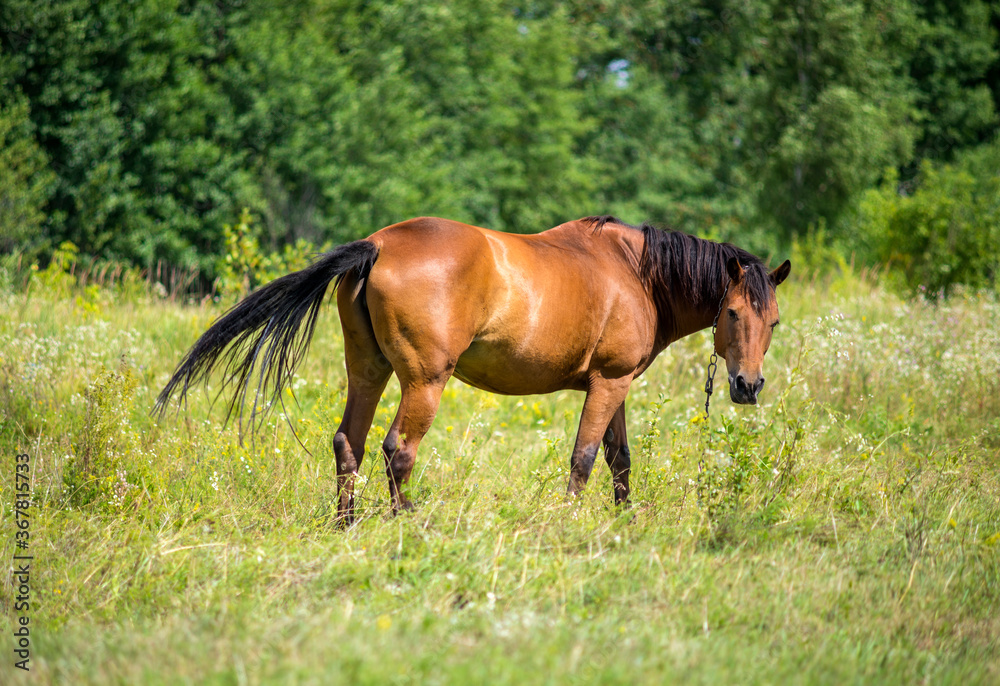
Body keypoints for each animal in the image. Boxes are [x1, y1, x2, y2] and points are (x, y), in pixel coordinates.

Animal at [156, 218, 792, 524]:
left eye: (775, 321)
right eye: (732, 313)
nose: (748, 387)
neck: (636, 271)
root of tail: (377, 245)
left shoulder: (613, 385)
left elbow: (619, 458)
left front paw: (624, 518)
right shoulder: (608, 382)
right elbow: (585, 457)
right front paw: (570, 521)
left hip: (368, 371)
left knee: (348, 443)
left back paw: (347, 524)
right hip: (423, 381)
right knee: (398, 450)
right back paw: (406, 520)